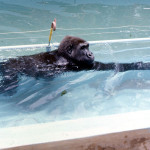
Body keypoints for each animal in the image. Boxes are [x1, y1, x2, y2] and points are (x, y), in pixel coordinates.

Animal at [0, 35, 150, 94]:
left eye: (88, 46)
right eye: (83, 48)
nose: (91, 54)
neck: (64, 56)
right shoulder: (83, 65)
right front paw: (140, 65)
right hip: (11, 67)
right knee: (10, 77)